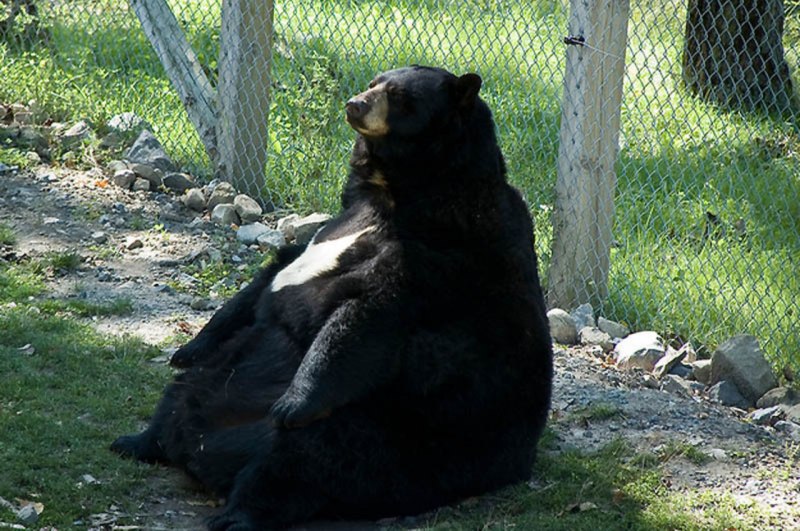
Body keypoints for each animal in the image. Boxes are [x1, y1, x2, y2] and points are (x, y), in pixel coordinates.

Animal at [111, 65, 553, 530]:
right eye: (376, 80)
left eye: (399, 96)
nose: (355, 104)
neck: (394, 194)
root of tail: (202, 455)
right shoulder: (336, 223)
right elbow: (267, 278)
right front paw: (188, 347)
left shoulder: (443, 257)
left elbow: (365, 317)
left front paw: (293, 402)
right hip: (215, 379)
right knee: (177, 398)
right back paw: (137, 440)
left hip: (384, 434)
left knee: (297, 461)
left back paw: (236, 512)